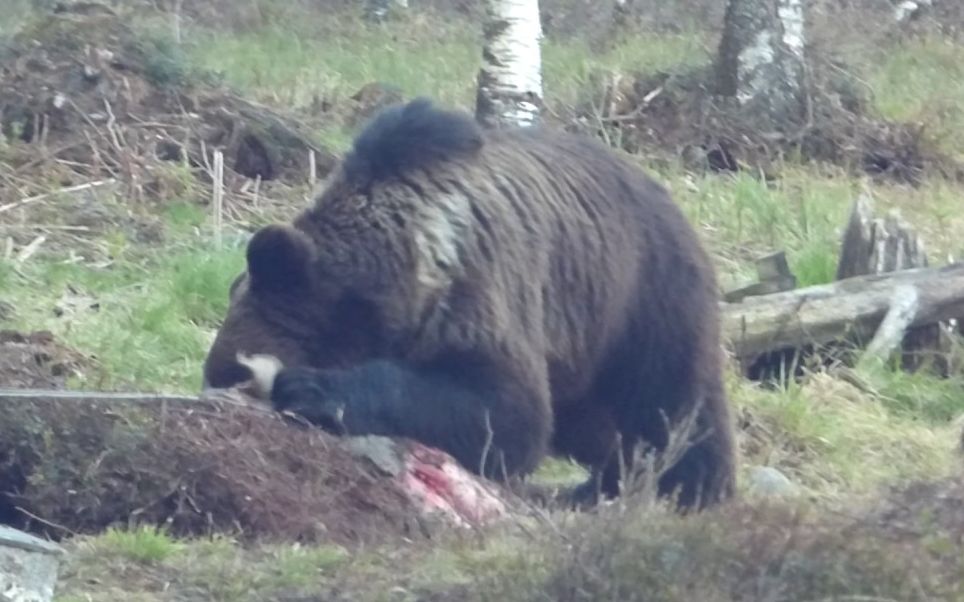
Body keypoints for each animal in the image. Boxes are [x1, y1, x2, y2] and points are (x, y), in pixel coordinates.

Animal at [200, 97, 736, 506]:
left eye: (232, 372)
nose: (217, 389)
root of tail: (663, 190)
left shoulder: (473, 286)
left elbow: (504, 408)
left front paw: (310, 388)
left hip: (639, 292)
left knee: (671, 400)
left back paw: (687, 486)